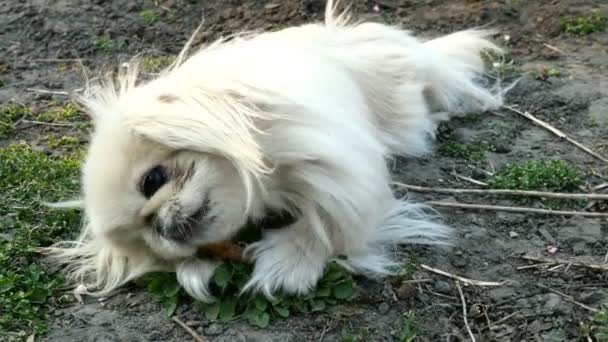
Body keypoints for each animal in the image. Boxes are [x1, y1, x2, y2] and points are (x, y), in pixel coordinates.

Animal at [47, 0, 504, 302]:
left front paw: (286, 264)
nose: (160, 224)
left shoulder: (340, 171)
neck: (266, 182)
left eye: (153, 180)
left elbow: (329, 224)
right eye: (146, 239)